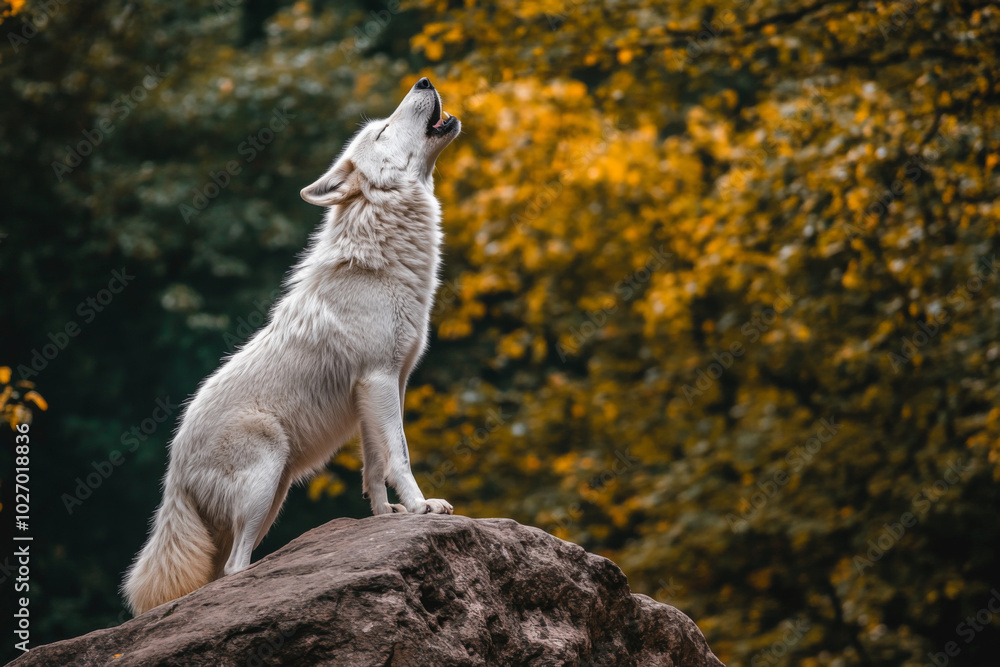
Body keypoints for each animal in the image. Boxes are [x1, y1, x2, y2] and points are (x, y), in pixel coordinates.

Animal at [123, 77, 461, 616]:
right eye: (383, 130)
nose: (424, 81)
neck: (381, 261)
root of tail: (172, 471)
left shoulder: (379, 387)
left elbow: (374, 465)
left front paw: (384, 517)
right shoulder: (380, 379)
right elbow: (400, 456)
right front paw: (420, 506)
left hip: (274, 491)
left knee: (219, 572)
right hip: (268, 479)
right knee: (235, 568)